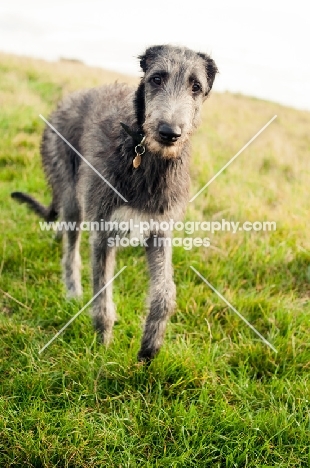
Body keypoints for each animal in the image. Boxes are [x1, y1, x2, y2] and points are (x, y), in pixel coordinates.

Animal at [12, 44, 218, 360]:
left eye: (196, 86)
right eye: (156, 78)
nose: (169, 133)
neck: (142, 156)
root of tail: (67, 99)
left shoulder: (159, 230)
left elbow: (165, 292)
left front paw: (149, 348)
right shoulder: (103, 231)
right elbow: (102, 295)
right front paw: (102, 347)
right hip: (71, 196)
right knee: (70, 251)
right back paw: (72, 293)